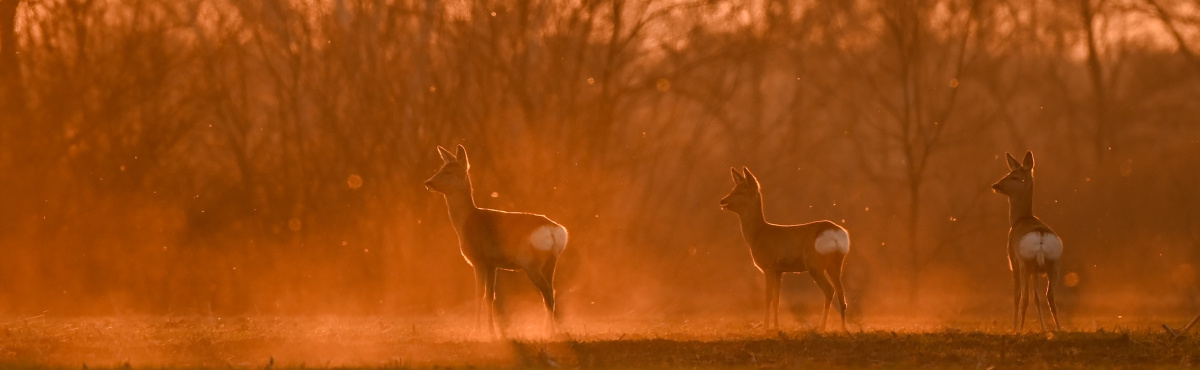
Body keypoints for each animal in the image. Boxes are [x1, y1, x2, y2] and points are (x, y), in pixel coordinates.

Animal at [424, 144, 568, 336]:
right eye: (441, 168)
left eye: (448, 171)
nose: (428, 183)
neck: (466, 221)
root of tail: (555, 232)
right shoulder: (493, 264)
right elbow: (490, 297)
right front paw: (491, 331)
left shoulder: (479, 260)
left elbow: (479, 295)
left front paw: (476, 331)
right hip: (550, 262)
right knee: (551, 293)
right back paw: (548, 331)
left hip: (531, 263)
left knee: (547, 294)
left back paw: (550, 332)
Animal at [715, 165, 849, 331]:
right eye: (733, 188)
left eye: (740, 191)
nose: (723, 200)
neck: (758, 234)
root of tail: (837, 234)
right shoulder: (780, 270)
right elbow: (776, 300)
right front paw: (776, 327)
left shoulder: (769, 266)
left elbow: (768, 297)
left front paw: (765, 328)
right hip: (836, 263)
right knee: (841, 294)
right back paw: (844, 329)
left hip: (815, 264)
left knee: (830, 290)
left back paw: (821, 328)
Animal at [993, 151, 1060, 331]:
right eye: (1009, 173)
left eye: (1014, 176)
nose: (996, 185)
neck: (1020, 219)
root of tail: (1041, 239)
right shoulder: (1036, 270)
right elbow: (1037, 298)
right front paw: (1044, 329)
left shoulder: (1013, 261)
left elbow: (1017, 297)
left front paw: (1014, 327)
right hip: (1052, 264)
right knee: (1050, 297)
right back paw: (1060, 329)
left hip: (1025, 264)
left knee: (1024, 297)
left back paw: (1020, 330)